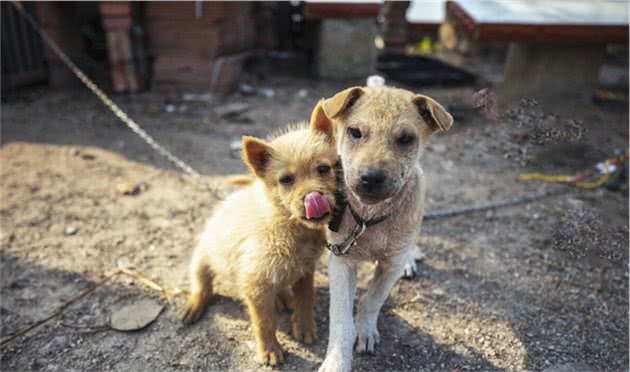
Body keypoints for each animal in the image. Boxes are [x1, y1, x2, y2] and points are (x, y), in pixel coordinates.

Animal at [181, 103, 340, 364]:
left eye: (324, 169)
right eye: (285, 180)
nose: (313, 198)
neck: (289, 228)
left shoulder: (305, 270)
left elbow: (305, 300)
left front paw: (304, 327)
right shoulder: (255, 283)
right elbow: (265, 321)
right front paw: (270, 350)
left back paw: (285, 298)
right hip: (202, 258)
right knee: (202, 283)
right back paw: (193, 305)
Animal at [318, 83, 452, 370]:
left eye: (405, 139)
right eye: (355, 132)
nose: (371, 178)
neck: (369, 220)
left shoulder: (390, 266)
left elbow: (372, 299)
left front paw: (366, 330)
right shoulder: (341, 262)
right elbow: (341, 320)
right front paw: (337, 361)